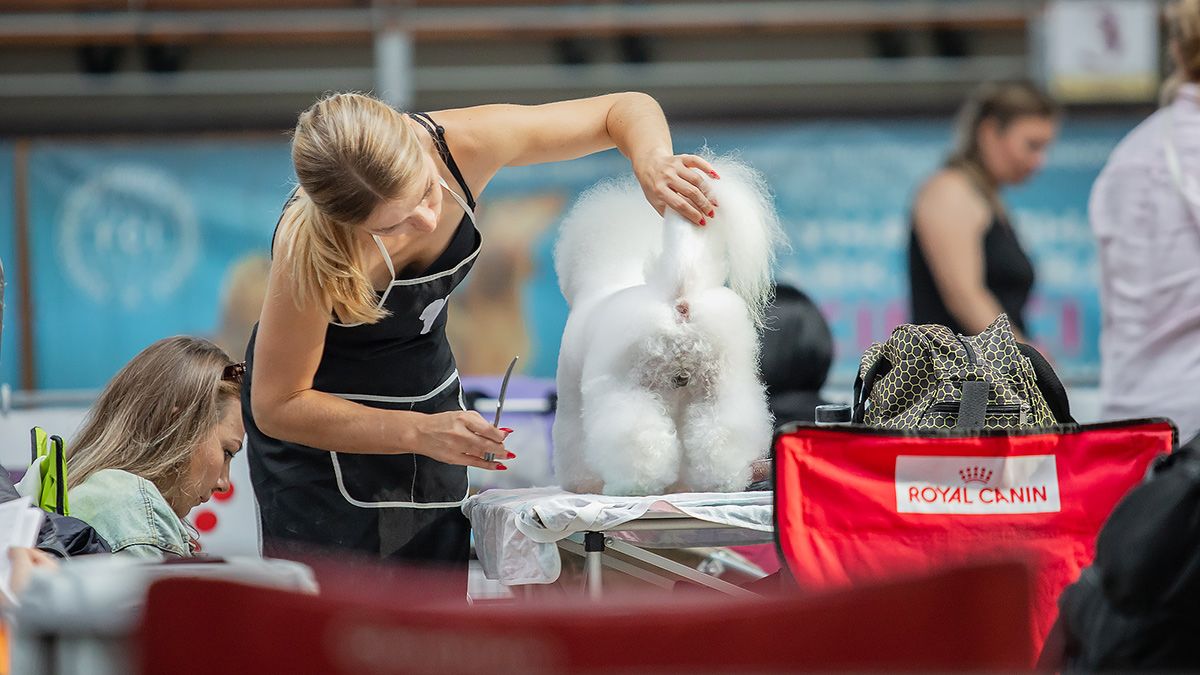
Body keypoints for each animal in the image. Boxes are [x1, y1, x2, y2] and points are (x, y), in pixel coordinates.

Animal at [554, 157, 782, 494]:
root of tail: (679, 299)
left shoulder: (571, 394)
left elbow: (573, 439)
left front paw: (581, 483)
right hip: (720, 386)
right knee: (720, 432)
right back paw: (722, 481)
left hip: (631, 388)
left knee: (638, 438)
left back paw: (633, 486)